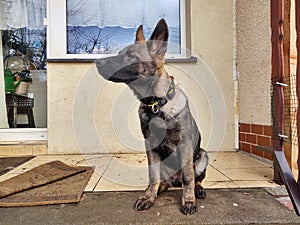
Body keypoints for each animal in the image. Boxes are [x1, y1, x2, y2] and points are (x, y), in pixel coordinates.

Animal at [96, 18, 209, 214]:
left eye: (131, 56)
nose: (97, 63)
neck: (156, 104)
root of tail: (174, 180)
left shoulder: (185, 145)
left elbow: (189, 176)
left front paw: (188, 200)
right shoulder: (150, 146)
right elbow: (152, 176)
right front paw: (148, 197)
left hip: (202, 155)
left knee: (194, 178)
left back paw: (198, 190)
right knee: (162, 181)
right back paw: (157, 189)